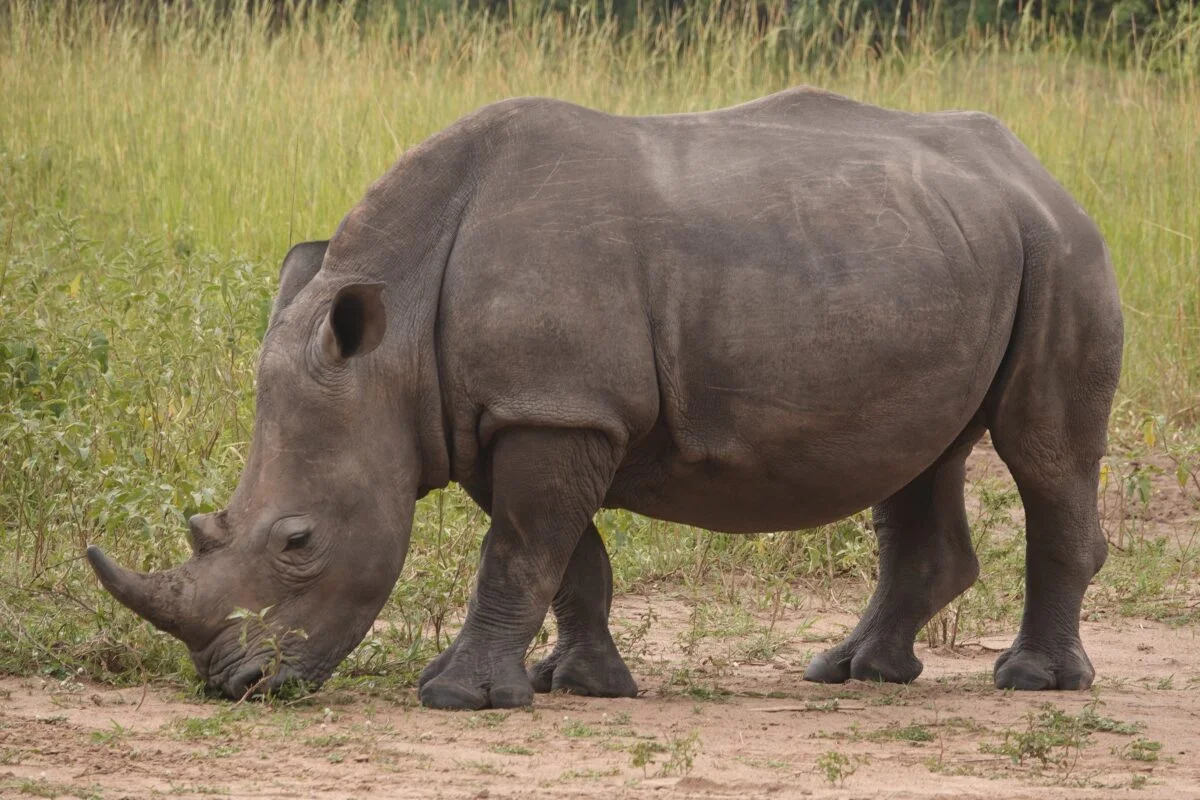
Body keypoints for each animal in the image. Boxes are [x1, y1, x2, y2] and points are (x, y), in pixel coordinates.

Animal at [87, 87, 1123, 709]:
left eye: (298, 544)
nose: (235, 684)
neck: (397, 330)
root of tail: (1038, 169)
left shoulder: (556, 406)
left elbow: (519, 550)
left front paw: (458, 697)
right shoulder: (513, 409)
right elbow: (561, 556)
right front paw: (574, 684)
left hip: (1063, 253)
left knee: (1043, 453)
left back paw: (1033, 683)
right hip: (938, 251)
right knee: (921, 458)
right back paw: (853, 672)